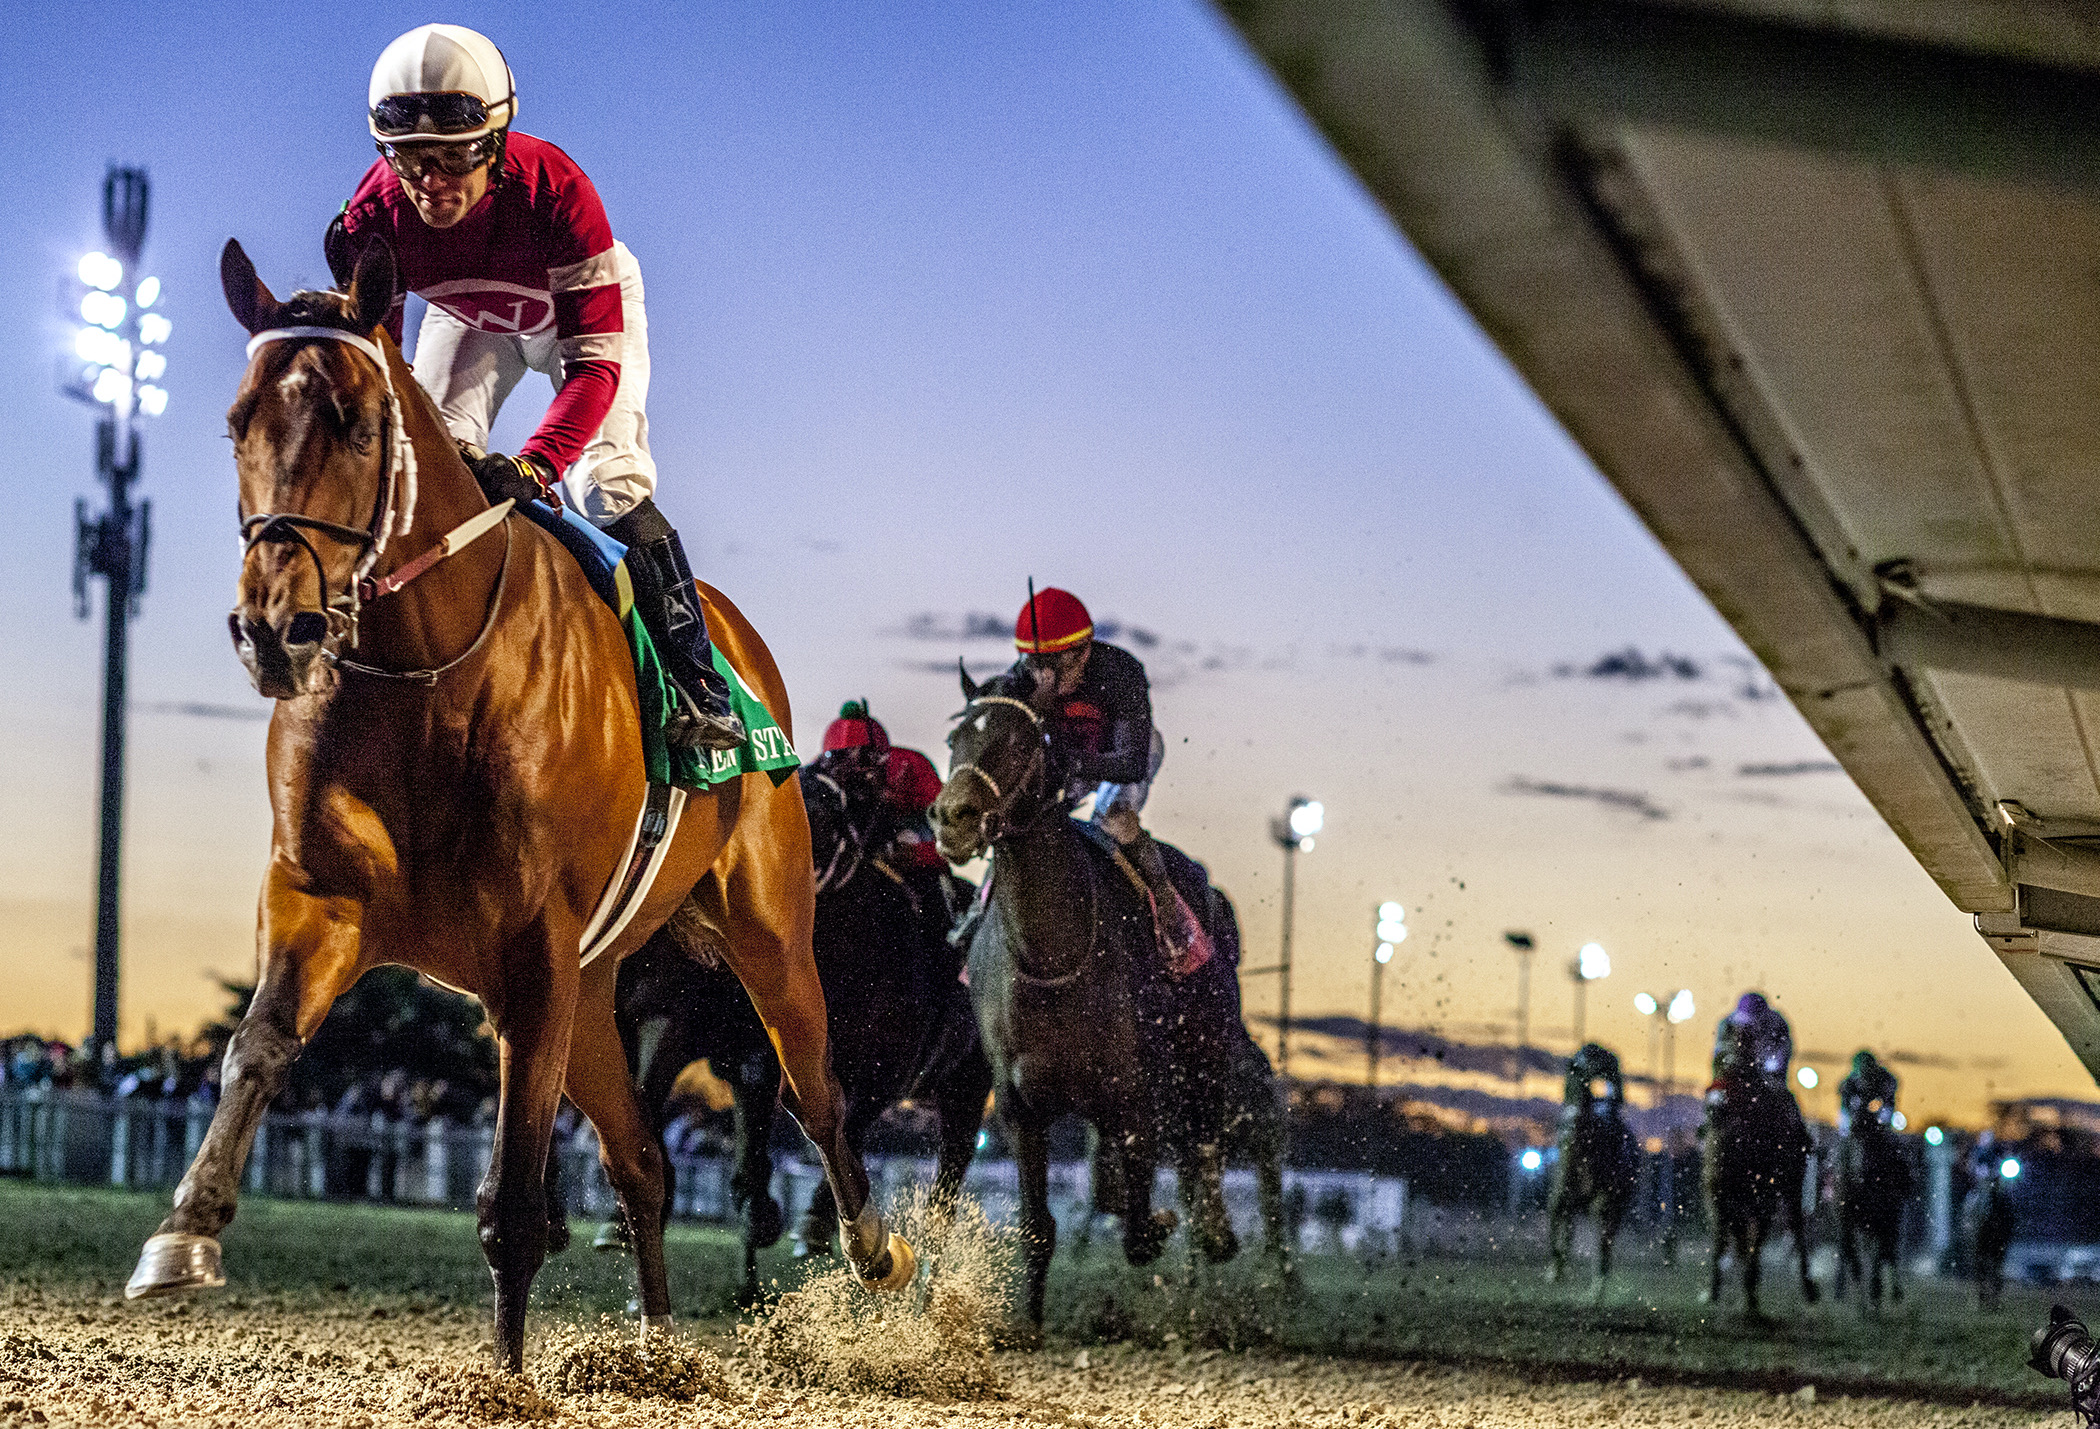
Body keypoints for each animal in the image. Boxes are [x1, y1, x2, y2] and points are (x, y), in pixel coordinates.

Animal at [120, 239, 911, 1370]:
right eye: (238, 422)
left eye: (357, 421)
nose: (275, 627)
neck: (425, 671)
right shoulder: (324, 901)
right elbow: (257, 1045)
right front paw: (182, 1234)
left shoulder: (532, 948)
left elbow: (514, 1204)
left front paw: (503, 1378)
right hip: (595, 986)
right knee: (643, 1159)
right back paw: (659, 1347)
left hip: (766, 938)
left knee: (818, 1093)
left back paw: (873, 1248)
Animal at [583, 760, 991, 1302]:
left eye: (830, 814)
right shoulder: (703, 1030)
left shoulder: (884, 1069)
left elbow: (840, 1121)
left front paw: (817, 1228)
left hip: (969, 1083)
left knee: (949, 1174)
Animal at [928, 668, 1234, 1328]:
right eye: (956, 739)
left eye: (1018, 741)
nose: (951, 818)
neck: (1053, 956)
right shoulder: (1020, 1105)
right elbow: (1038, 1224)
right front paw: (1027, 1323)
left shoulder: (1133, 1092)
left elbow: (1142, 1224)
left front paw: (1161, 1225)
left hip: (1206, 1047)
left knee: (1202, 1135)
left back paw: (1215, 1232)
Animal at [1696, 1025, 1814, 1319]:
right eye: (1717, 1061)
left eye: (1741, 1069)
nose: (1715, 1106)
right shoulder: (1717, 1193)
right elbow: (1723, 1238)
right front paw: (1713, 1289)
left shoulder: (1765, 1196)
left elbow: (1756, 1237)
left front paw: (1749, 1292)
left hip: (1792, 1185)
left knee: (1796, 1225)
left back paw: (1808, 1287)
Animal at [1831, 1101, 1915, 1311]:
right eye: (1856, 1137)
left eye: (1871, 1140)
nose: (1862, 1169)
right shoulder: (1847, 1222)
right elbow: (1853, 1255)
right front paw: (1863, 1300)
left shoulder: (1885, 1220)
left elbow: (1880, 1255)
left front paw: (1876, 1294)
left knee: (1889, 1251)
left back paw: (1891, 1291)